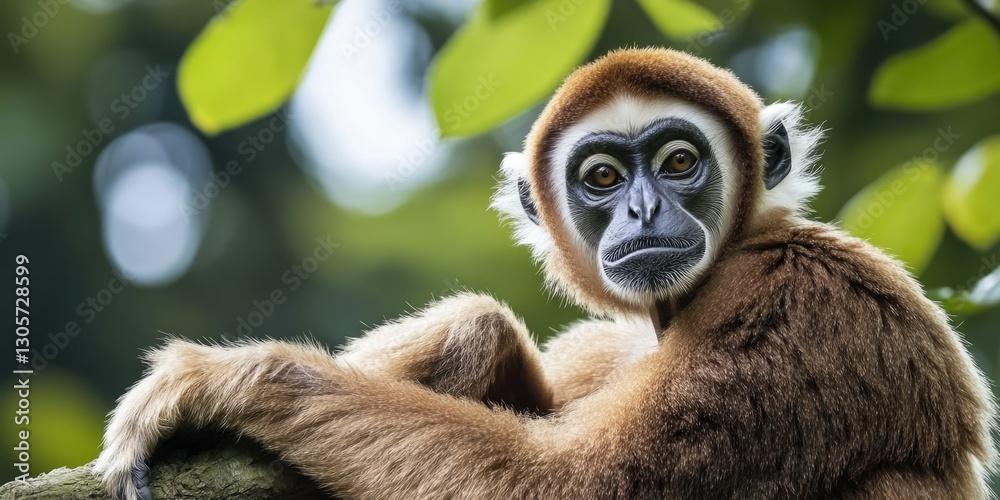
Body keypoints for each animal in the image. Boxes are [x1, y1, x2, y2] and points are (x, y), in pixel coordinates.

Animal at [95, 47, 997, 499]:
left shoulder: (798, 297)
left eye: (679, 162)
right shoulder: (603, 345)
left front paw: (223, 380)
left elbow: (564, 484)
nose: (643, 210)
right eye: (602, 177)